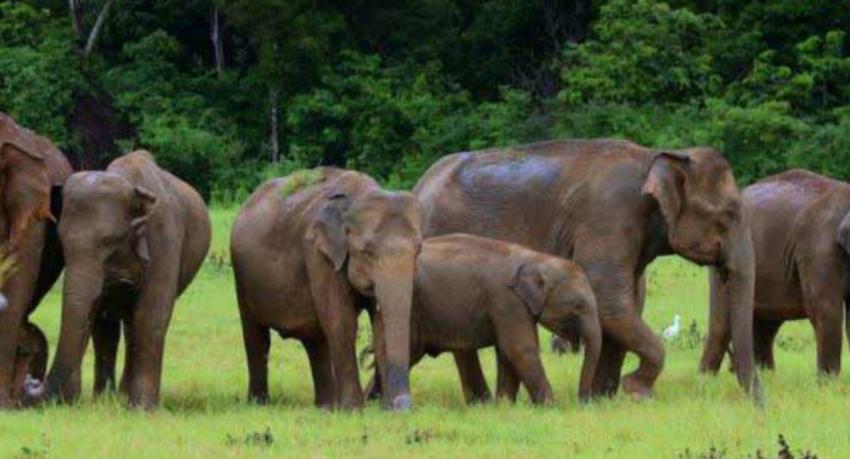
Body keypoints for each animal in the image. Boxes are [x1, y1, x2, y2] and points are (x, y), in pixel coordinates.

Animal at [23, 150, 211, 409]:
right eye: (61, 242)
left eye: (110, 241)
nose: (31, 381)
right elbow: (101, 319)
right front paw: (102, 403)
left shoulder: (165, 242)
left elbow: (150, 315)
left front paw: (142, 409)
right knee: (117, 327)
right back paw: (116, 396)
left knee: (135, 322)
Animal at [231, 168, 422, 411]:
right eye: (367, 252)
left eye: (418, 250)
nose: (403, 405)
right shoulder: (318, 254)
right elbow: (342, 322)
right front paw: (354, 410)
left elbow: (379, 326)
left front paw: (384, 410)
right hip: (243, 280)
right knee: (257, 336)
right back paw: (260, 404)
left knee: (316, 340)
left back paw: (326, 407)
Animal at [366, 234, 601, 405]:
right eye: (578, 306)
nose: (583, 402)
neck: (534, 258)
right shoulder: (506, 301)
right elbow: (521, 348)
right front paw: (550, 406)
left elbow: (507, 352)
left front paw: (505, 405)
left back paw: (373, 403)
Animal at [413, 139, 759, 400]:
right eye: (729, 213)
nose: (758, 404)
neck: (657, 156)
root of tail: (419, 187)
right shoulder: (608, 216)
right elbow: (610, 301)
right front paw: (636, 390)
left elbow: (628, 302)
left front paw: (604, 397)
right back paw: (482, 403)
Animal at [701, 169, 850, 375]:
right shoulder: (819, 249)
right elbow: (825, 309)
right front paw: (829, 382)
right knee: (722, 326)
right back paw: (705, 379)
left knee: (764, 326)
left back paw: (766, 375)